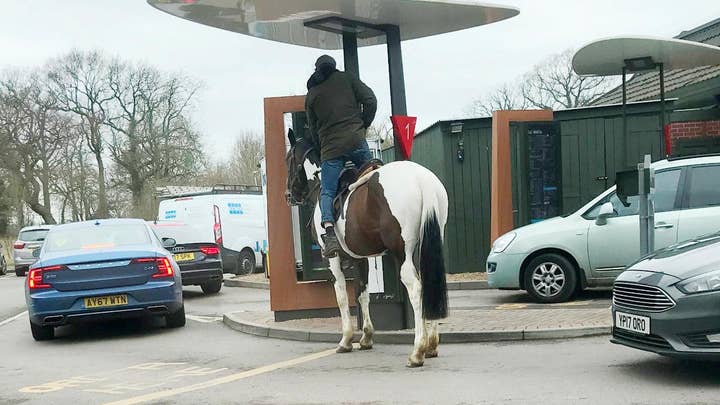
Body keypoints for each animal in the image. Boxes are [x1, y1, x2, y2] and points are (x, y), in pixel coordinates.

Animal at [284, 132, 448, 366]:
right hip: (427, 244)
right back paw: (432, 345)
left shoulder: (332, 259)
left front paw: (346, 339)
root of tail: (420, 179)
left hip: (403, 251)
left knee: (416, 288)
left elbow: (342, 296)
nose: (289, 195)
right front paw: (367, 337)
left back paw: (418, 350)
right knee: (429, 280)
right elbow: (362, 294)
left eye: (288, 159)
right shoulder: (360, 258)